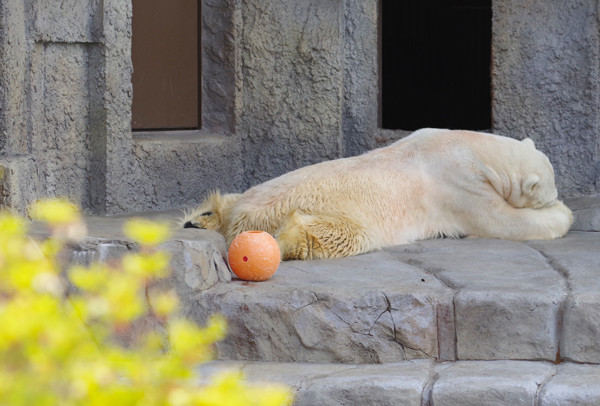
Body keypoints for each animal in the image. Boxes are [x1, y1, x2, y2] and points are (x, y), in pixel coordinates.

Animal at [182, 129, 572, 260]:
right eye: (550, 194)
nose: (557, 198)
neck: (472, 146)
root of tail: (244, 215)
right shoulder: (461, 184)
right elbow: (504, 222)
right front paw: (565, 214)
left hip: (250, 195)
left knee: (227, 198)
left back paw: (200, 219)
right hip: (326, 210)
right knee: (341, 235)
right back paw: (290, 239)